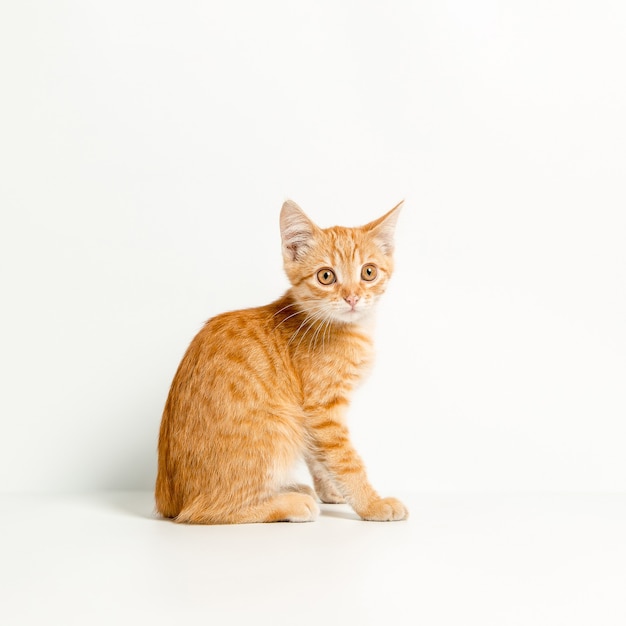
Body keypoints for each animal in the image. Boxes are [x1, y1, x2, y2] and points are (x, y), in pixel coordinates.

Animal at [154, 200, 408, 520]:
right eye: (326, 276)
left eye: (369, 272)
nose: (352, 298)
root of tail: (170, 502)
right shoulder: (322, 409)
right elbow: (345, 461)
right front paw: (372, 504)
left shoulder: (312, 417)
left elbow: (319, 457)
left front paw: (331, 492)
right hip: (280, 426)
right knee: (205, 511)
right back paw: (289, 502)